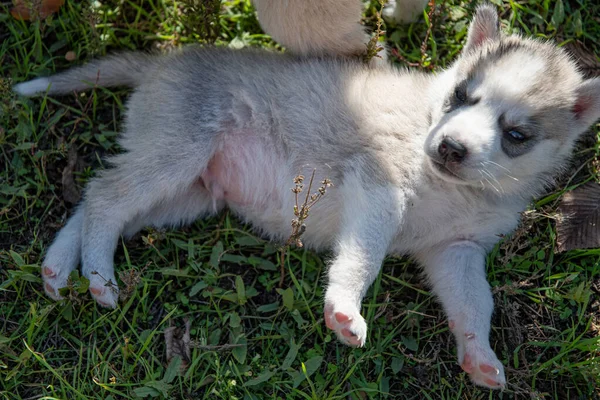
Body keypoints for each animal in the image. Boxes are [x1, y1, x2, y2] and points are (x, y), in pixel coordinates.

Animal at [12, 4, 600, 390]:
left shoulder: (456, 250)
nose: (450, 147)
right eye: (462, 95)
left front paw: (480, 356)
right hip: (175, 154)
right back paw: (98, 275)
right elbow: (363, 257)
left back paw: (59, 268)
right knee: (106, 196)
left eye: (516, 134)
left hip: (187, 193)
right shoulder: (379, 188)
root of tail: (163, 61)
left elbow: (477, 302)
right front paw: (344, 308)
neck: (455, 187)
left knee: (97, 200)